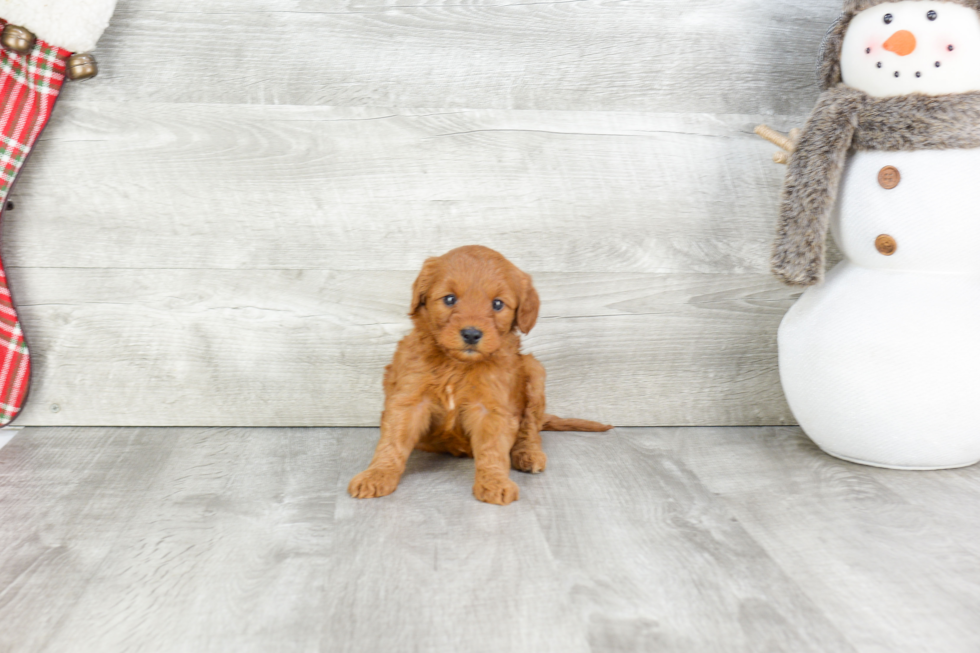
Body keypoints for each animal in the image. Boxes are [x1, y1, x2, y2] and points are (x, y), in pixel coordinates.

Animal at [350, 244, 612, 504]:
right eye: (450, 299)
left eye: (497, 304)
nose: (471, 334)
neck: (457, 365)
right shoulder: (409, 400)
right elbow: (391, 442)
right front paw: (376, 475)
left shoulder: (492, 408)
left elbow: (493, 449)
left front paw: (495, 483)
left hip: (534, 372)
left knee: (530, 429)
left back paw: (528, 454)